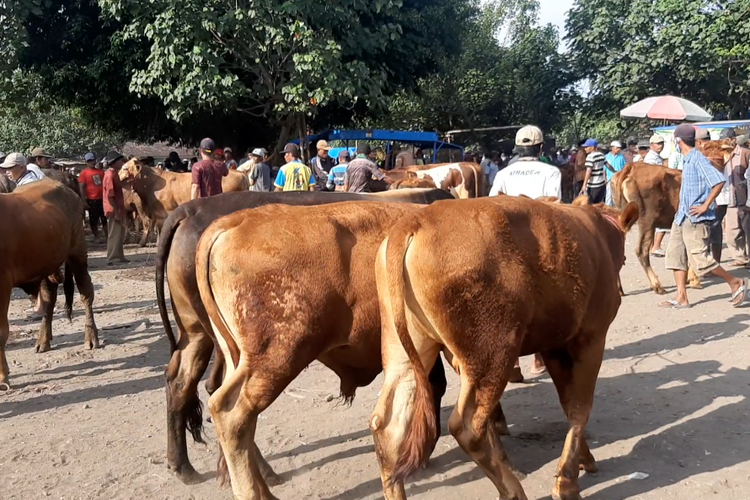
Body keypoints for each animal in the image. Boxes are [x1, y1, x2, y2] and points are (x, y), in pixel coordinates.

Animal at [0, 178, 100, 388]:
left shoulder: (3, 284)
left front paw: (3, 376)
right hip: (46, 265)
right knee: (49, 298)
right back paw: (43, 340)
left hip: (77, 253)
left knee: (85, 292)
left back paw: (91, 337)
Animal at [370, 196, 640, 500]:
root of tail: (416, 220)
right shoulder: (591, 337)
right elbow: (580, 407)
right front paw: (567, 482)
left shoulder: (554, 344)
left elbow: (567, 402)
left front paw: (584, 458)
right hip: (493, 351)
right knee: (468, 426)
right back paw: (512, 490)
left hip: (405, 350)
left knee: (388, 426)